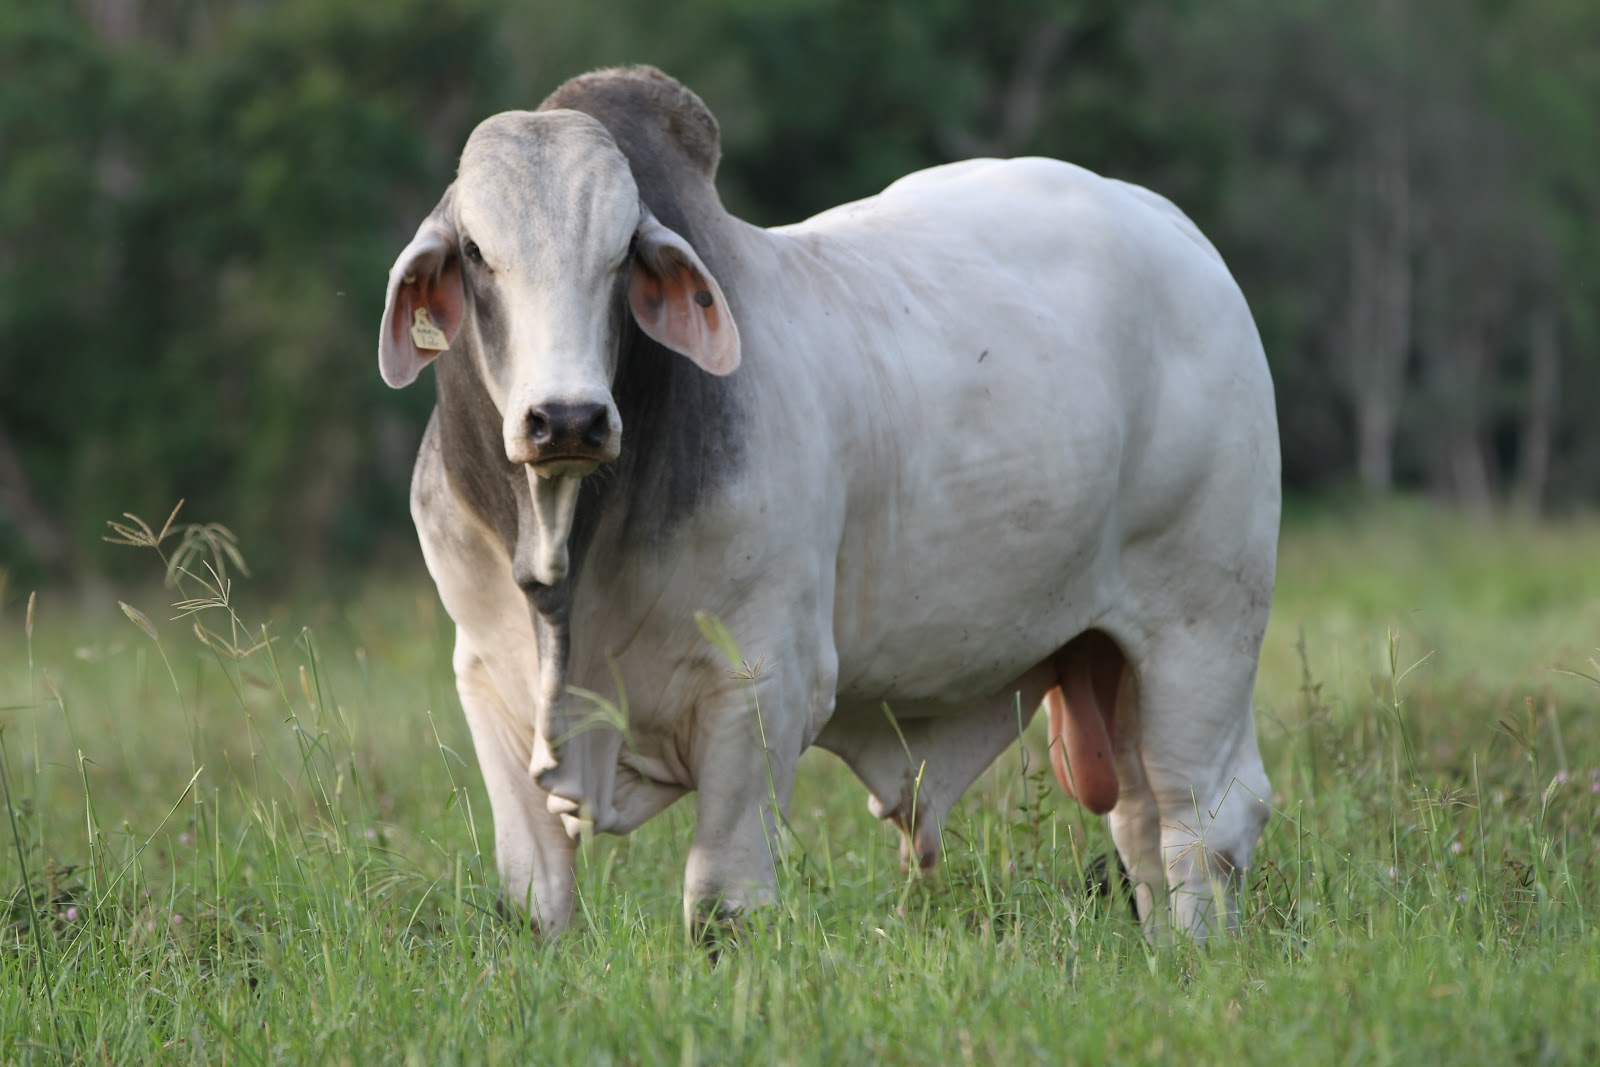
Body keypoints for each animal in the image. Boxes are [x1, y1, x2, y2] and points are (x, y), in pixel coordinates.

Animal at [378, 66, 1279, 942]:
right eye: (476, 251)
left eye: (621, 254)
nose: (568, 417)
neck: (570, 564)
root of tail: (1174, 229)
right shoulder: (489, 681)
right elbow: (537, 903)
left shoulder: (764, 683)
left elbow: (723, 903)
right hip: (1112, 658)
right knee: (1139, 821)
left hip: (1202, 627)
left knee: (1202, 822)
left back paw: (1199, 960)